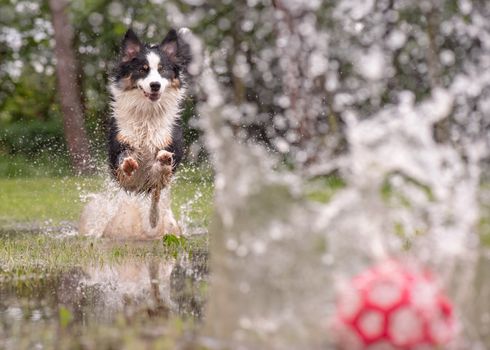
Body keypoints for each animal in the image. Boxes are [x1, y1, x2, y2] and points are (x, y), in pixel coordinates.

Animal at [108, 28, 190, 230]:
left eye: (162, 70)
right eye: (142, 69)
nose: (155, 85)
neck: (147, 114)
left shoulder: (167, 151)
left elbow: (161, 169)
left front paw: (163, 160)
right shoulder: (120, 151)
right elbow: (124, 162)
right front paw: (128, 164)